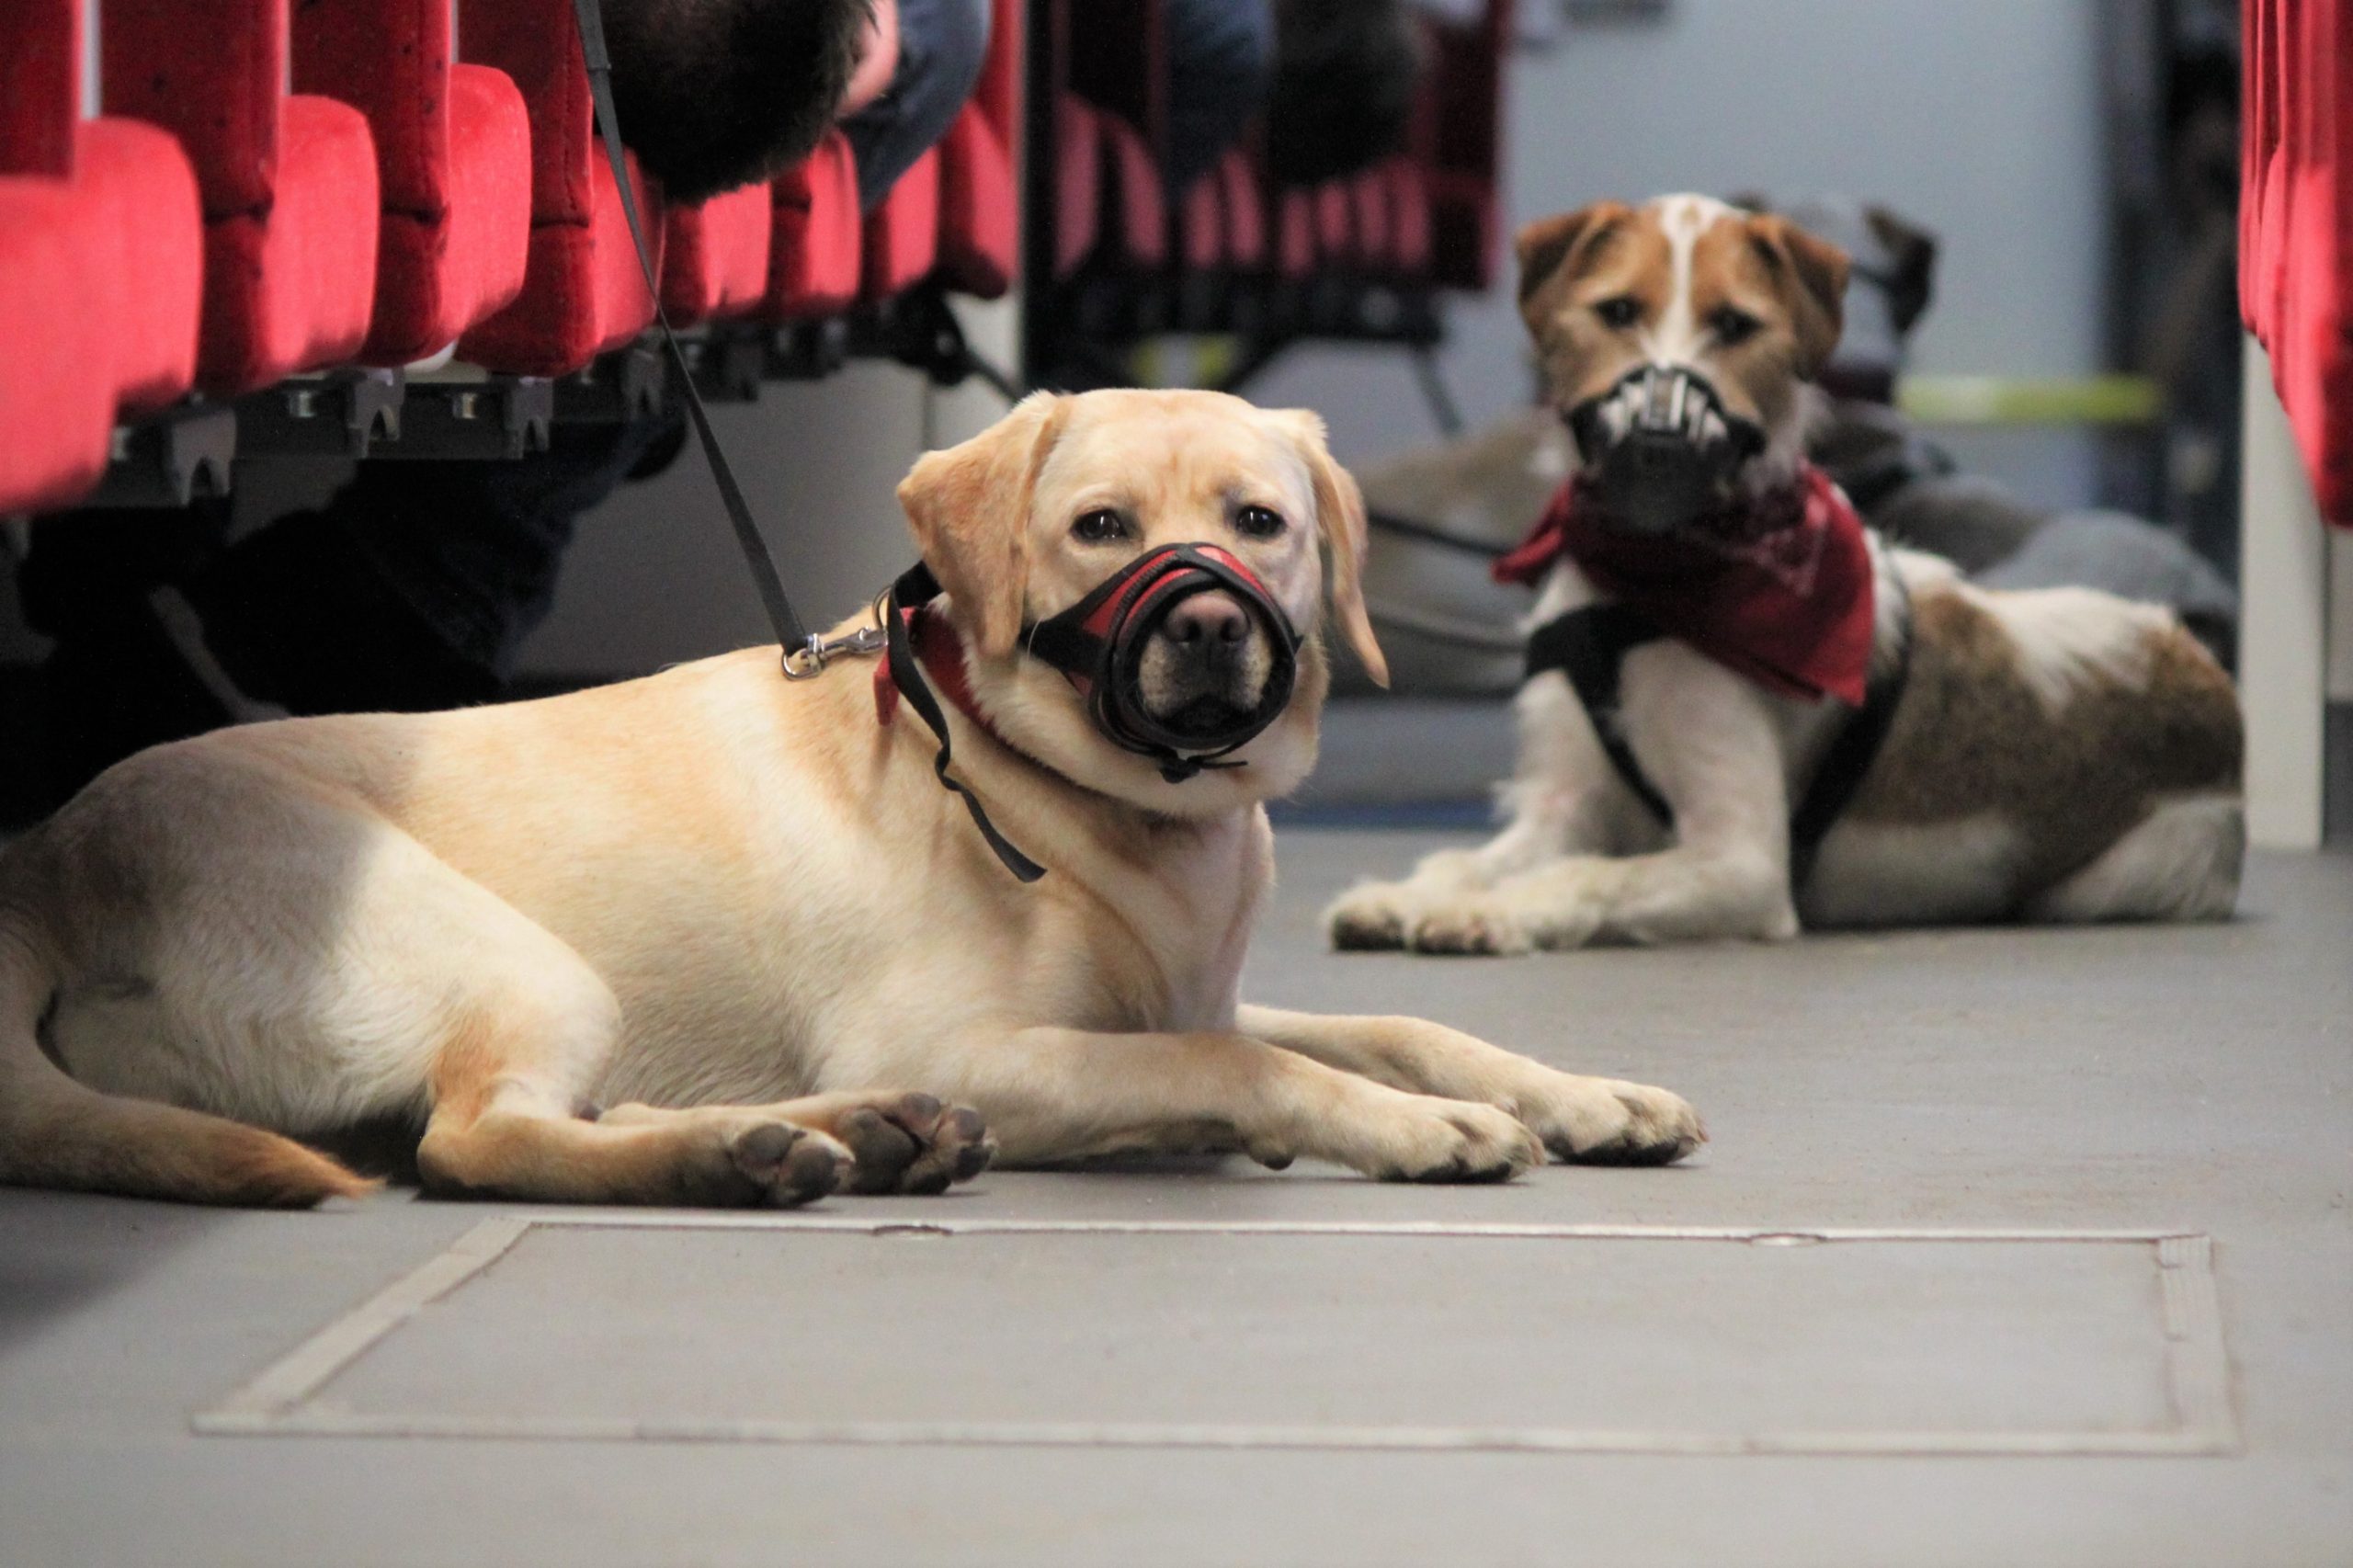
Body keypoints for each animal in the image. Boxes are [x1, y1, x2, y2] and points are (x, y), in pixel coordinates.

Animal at [0, 383, 1703, 1200]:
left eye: (1260, 521)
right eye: (1099, 526)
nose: (1212, 625)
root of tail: (55, 855)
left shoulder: (1178, 1000)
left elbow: (1400, 1024)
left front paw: (1573, 1093)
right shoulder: (996, 1039)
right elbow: (1248, 1068)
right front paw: (1418, 1130)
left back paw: (848, 1136)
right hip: (516, 961)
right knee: (475, 1141)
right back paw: (746, 1161)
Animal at [1326, 195, 2240, 950]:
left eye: (1735, 325)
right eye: (1616, 312)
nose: (1658, 439)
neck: (1643, 583)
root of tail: (2200, 661)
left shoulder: (1740, 862)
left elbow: (1589, 874)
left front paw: (1488, 914)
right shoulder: (1561, 804)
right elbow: (1477, 857)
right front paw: (1409, 895)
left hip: (2127, 873)